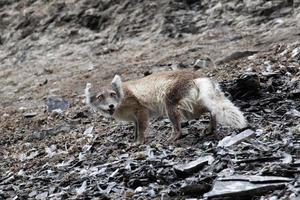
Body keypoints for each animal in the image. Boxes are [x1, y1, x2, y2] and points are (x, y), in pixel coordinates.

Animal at [84, 70, 246, 144]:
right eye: (100, 97)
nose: (111, 105)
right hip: (192, 108)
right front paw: (134, 141)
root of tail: (196, 76)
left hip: (171, 106)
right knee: (213, 110)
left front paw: (139, 143)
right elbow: (135, 130)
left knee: (179, 128)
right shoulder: (134, 119)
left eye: (112, 94)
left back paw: (173, 138)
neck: (122, 97)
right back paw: (210, 129)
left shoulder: (141, 111)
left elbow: (141, 130)